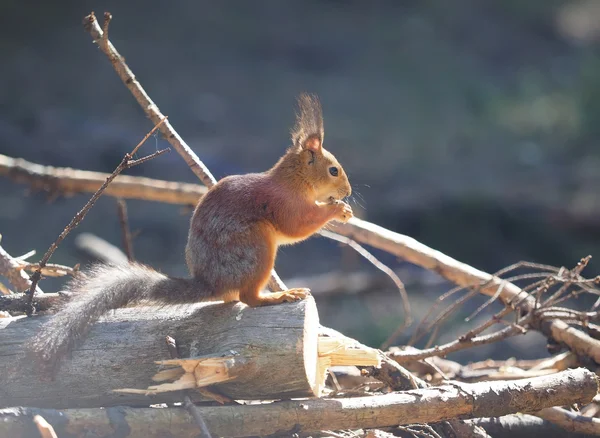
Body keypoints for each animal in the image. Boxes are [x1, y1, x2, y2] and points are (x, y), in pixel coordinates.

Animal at [30, 93, 354, 372]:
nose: (348, 192)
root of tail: (209, 283)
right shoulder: (284, 204)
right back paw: (278, 296)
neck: (294, 180)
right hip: (256, 248)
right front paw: (337, 210)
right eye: (334, 170)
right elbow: (297, 226)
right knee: (248, 297)